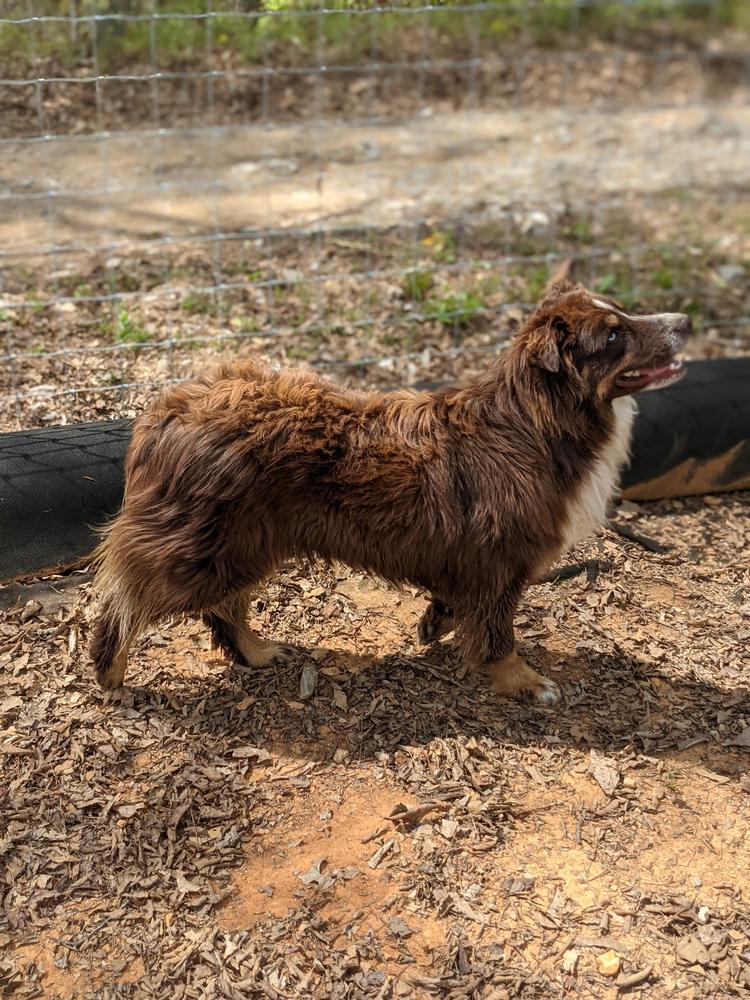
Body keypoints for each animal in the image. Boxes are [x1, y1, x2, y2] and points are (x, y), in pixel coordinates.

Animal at [91, 282, 692, 704]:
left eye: (623, 316)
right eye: (613, 336)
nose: (685, 321)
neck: (537, 423)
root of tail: (166, 410)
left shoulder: (470, 560)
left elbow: (456, 605)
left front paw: (436, 622)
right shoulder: (501, 565)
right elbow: (499, 637)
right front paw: (522, 681)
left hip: (248, 544)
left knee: (224, 607)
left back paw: (257, 652)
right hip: (206, 549)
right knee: (125, 598)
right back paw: (109, 668)